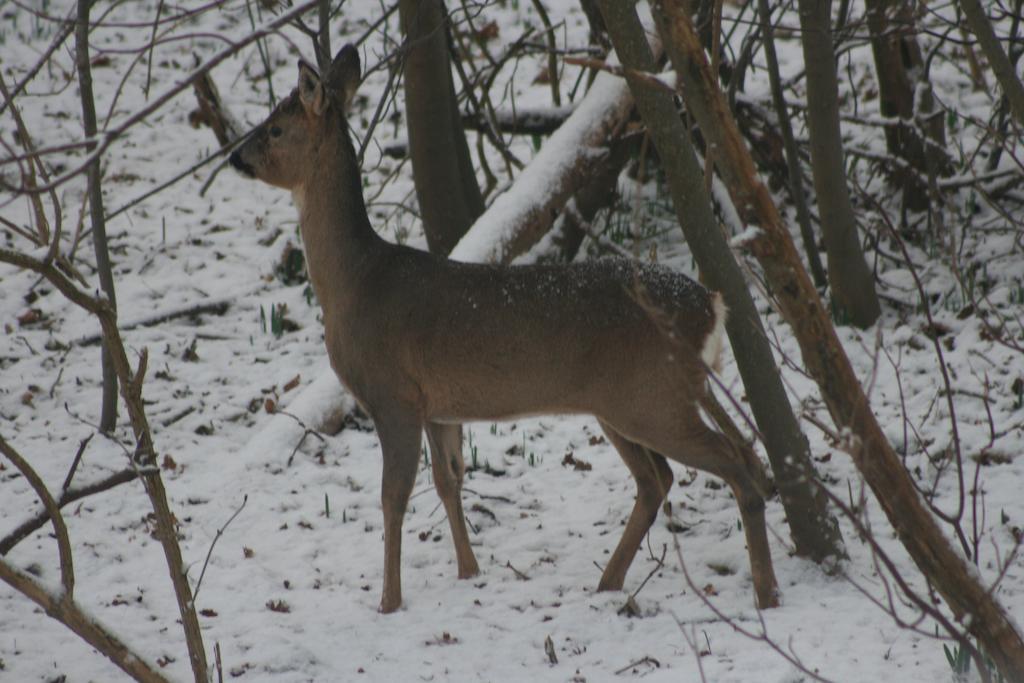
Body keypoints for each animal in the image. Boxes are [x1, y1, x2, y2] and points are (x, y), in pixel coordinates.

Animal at [230, 46, 774, 614]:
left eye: (275, 127)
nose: (235, 157)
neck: (356, 282)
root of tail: (710, 305)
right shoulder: (437, 404)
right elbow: (449, 479)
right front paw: (469, 572)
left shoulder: (392, 393)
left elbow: (392, 496)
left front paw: (389, 602)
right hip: (629, 401)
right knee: (670, 475)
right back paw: (609, 583)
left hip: (650, 395)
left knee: (730, 464)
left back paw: (764, 594)